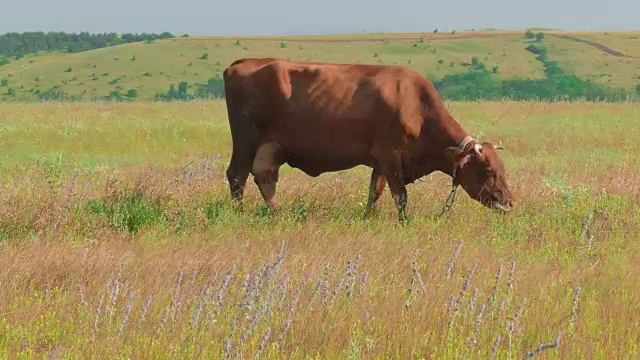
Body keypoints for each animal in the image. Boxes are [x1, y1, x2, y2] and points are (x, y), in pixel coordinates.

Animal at [222, 57, 512, 221]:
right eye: (488, 171)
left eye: (502, 169)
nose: (508, 202)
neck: (417, 106)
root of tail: (243, 63)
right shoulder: (390, 156)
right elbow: (400, 196)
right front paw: (403, 222)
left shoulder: (380, 162)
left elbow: (375, 192)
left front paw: (367, 217)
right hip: (245, 140)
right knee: (237, 176)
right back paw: (239, 214)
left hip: (270, 146)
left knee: (265, 177)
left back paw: (277, 214)